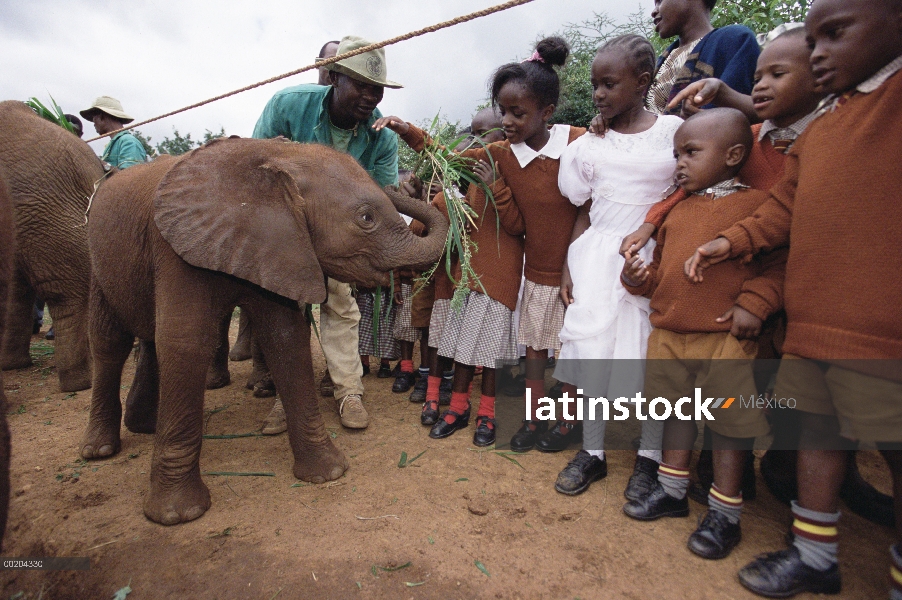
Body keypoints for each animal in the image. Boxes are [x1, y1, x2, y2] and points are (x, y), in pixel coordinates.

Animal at [85, 138, 448, 524]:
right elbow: (186, 343)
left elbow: (285, 335)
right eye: (366, 218)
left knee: (149, 337)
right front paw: (177, 515)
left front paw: (328, 473)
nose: (407, 183)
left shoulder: (280, 247)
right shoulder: (175, 247)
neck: (278, 160)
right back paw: (99, 449)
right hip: (96, 257)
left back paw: (146, 427)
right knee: (109, 341)